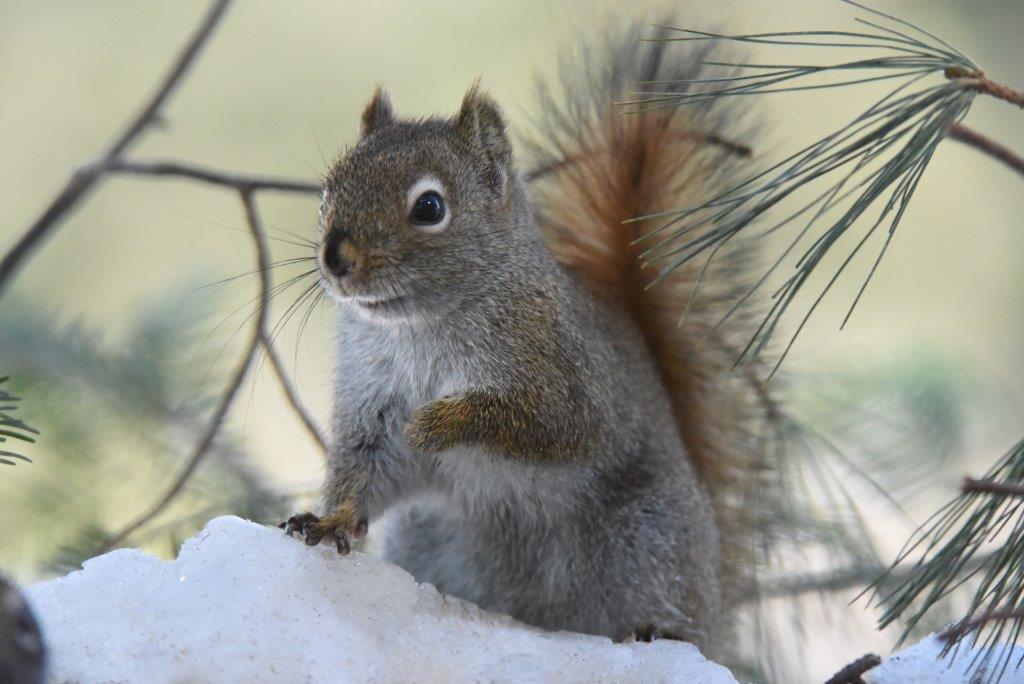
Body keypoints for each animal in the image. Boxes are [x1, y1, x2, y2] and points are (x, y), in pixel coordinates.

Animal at [282, 20, 781, 659]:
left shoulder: (568, 375)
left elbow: (546, 425)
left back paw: (660, 633)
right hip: (433, 533)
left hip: (649, 540)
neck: (419, 328)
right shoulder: (372, 404)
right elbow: (365, 468)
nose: (335, 256)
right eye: (328, 189)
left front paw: (439, 423)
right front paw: (331, 522)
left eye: (429, 206)